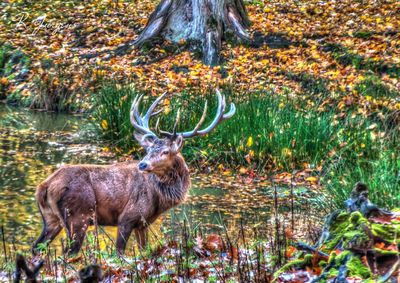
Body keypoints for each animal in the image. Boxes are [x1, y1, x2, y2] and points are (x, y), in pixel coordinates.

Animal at [32, 90, 236, 256]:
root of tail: (45, 186)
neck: (159, 199)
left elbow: (144, 251)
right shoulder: (127, 217)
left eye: (165, 151)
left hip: (51, 218)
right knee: (68, 254)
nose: (143, 164)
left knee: (36, 248)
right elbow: (119, 253)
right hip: (78, 216)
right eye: (148, 149)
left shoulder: (143, 223)